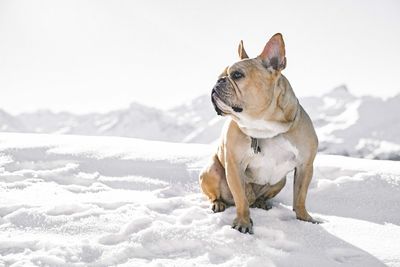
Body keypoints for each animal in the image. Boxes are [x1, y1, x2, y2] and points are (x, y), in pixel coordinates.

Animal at [200, 33, 318, 234]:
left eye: (237, 75)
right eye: (220, 76)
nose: (218, 81)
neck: (264, 127)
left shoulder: (305, 165)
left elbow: (300, 196)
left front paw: (305, 219)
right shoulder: (234, 166)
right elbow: (241, 199)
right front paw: (243, 222)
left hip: (280, 181)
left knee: (261, 197)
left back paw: (261, 203)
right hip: (211, 171)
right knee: (225, 196)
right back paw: (218, 203)